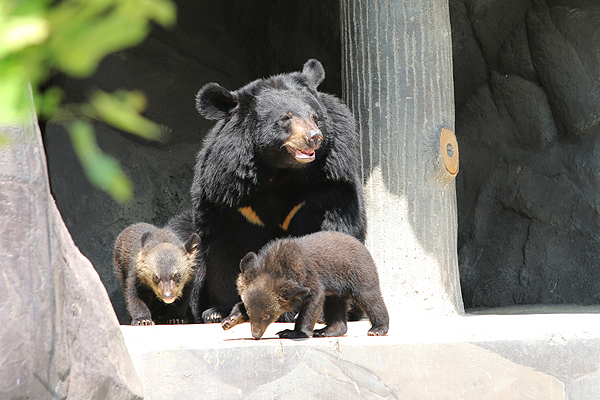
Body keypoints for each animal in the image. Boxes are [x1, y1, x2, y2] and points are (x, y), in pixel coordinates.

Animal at [191, 58, 366, 322]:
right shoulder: (225, 191)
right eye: (286, 118)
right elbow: (224, 248)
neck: (280, 171)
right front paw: (218, 311)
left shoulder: (328, 184)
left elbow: (331, 230)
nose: (314, 137)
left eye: (315, 117)